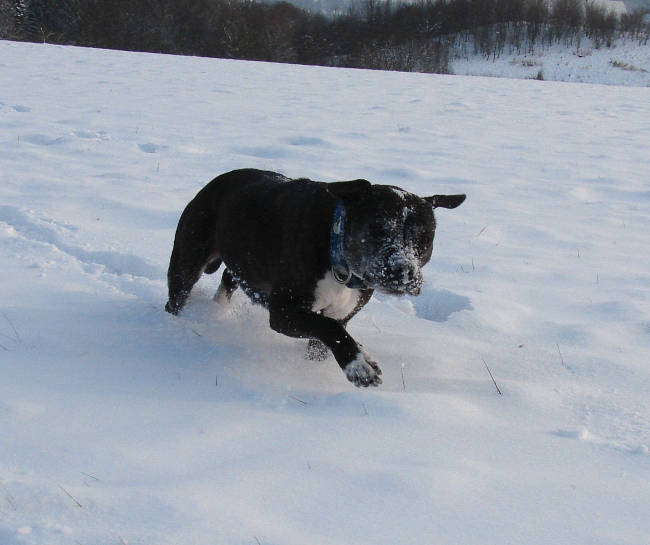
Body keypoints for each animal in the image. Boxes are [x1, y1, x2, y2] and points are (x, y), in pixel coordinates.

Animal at [165, 170, 464, 386]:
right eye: (377, 229)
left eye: (423, 239)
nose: (403, 271)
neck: (339, 262)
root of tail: (217, 180)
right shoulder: (284, 312)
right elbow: (329, 328)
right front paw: (359, 364)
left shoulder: (343, 312)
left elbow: (325, 338)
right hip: (187, 259)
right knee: (178, 295)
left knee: (229, 277)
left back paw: (219, 309)